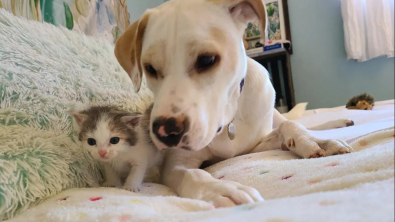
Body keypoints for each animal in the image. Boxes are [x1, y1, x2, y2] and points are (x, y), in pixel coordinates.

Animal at [113, 0, 352, 208]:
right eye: (150, 68)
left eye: (207, 60)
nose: (165, 132)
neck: (228, 123)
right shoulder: (176, 163)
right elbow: (193, 174)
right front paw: (222, 190)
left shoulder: (254, 144)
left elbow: (291, 126)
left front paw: (316, 142)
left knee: (295, 121)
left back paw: (338, 123)